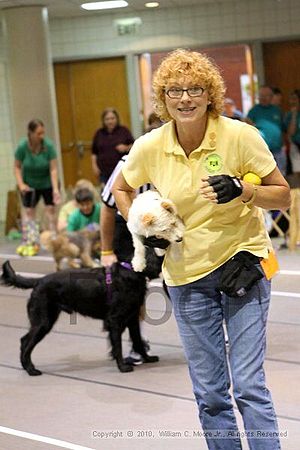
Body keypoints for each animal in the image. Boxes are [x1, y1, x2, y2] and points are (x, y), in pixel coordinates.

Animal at [0, 250, 162, 376]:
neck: (132, 272)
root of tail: (38, 281)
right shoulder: (115, 320)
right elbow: (118, 346)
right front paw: (122, 367)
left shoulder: (132, 318)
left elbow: (138, 341)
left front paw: (148, 359)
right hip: (43, 322)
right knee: (26, 342)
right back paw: (31, 370)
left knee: (24, 340)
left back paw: (26, 367)